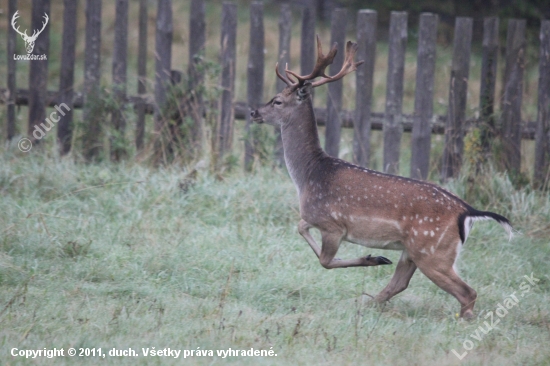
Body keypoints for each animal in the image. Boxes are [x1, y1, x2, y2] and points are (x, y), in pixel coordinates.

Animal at [252, 35, 516, 318]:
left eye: (277, 101)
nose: (253, 112)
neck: (308, 175)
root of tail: (468, 212)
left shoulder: (332, 223)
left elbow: (323, 259)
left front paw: (371, 258)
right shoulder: (316, 219)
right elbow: (301, 227)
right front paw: (375, 259)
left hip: (433, 252)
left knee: (467, 292)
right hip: (414, 251)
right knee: (400, 283)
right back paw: (368, 300)